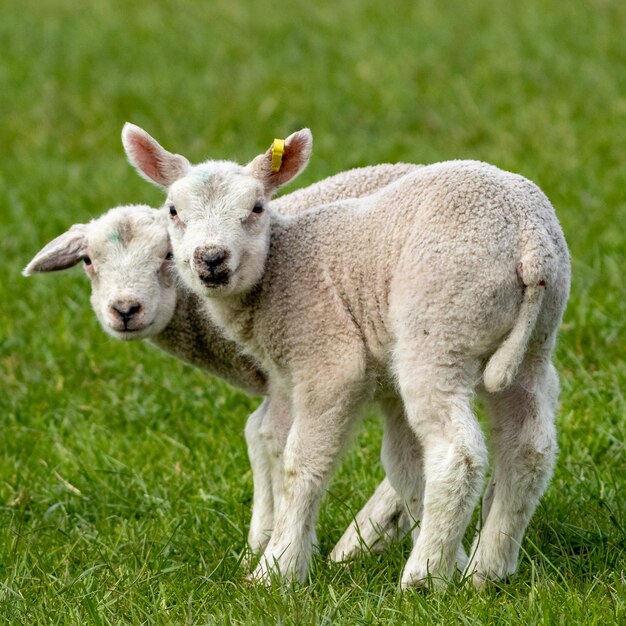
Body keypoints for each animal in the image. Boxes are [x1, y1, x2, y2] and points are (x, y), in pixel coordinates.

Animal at [24, 165, 416, 556]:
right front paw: (260, 540)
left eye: (166, 257)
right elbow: (256, 434)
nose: (124, 309)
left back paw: (361, 537)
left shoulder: (290, 369)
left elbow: (274, 439)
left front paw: (283, 542)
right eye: (88, 260)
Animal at [122, 122, 572, 584]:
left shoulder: (328, 360)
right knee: (528, 448)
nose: (211, 259)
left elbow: (300, 464)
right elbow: (404, 467)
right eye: (173, 211)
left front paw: (277, 569)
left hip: (439, 328)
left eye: (257, 207)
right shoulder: (383, 384)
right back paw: (485, 571)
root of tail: (529, 239)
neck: (277, 268)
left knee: (457, 453)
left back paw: (422, 578)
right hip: (535, 338)